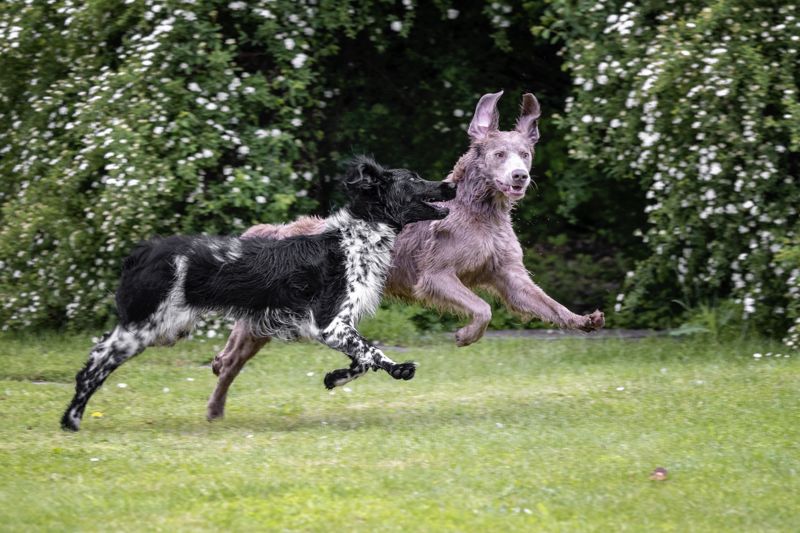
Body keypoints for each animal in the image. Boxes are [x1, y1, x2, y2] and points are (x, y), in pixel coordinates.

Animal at [61, 156, 456, 430]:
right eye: (413, 179)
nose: (450, 185)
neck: (355, 237)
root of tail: (143, 252)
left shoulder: (334, 326)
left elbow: (360, 360)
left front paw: (334, 378)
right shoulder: (329, 323)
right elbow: (371, 352)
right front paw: (400, 369)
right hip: (148, 327)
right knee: (94, 366)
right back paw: (72, 420)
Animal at [206, 90, 608, 420]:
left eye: (525, 154)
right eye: (499, 155)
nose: (520, 176)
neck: (480, 212)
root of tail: (270, 232)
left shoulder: (507, 272)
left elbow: (545, 303)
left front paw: (584, 319)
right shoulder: (435, 275)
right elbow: (483, 308)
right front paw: (465, 335)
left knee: (237, 352)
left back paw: (217, 392)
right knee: (235, 353)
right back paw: (217, 384)